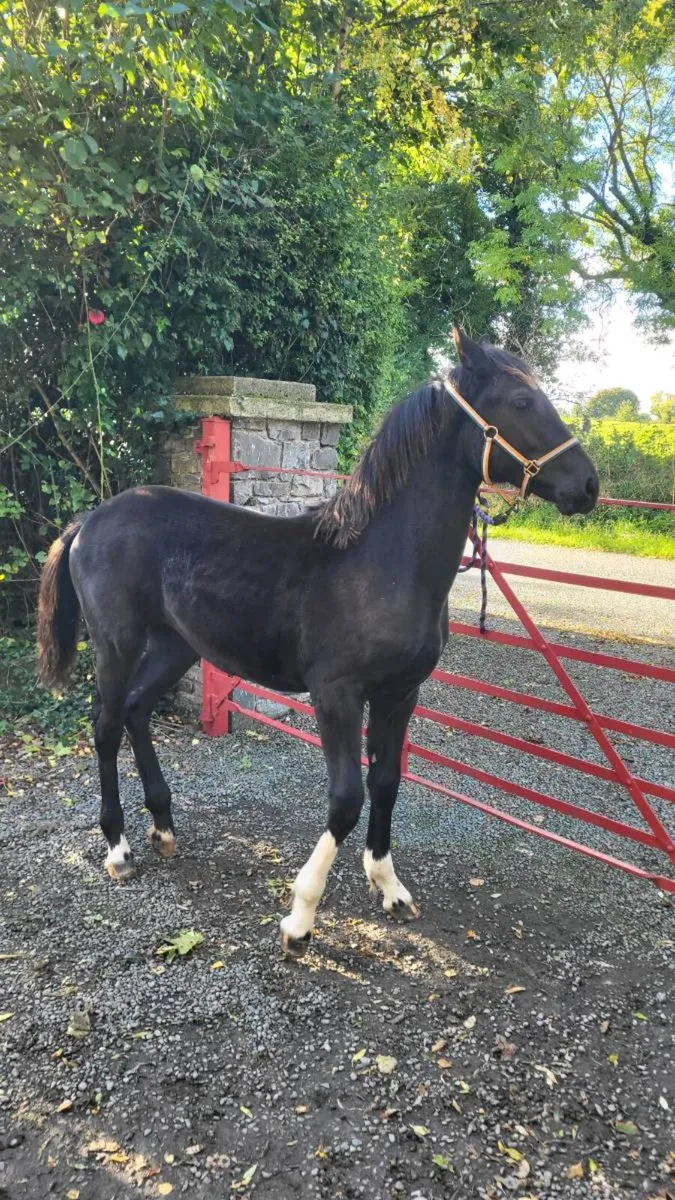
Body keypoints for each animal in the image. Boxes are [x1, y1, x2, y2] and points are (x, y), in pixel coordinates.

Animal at [37, 328, 598, 956]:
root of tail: (88, 521)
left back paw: (163, 827)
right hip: (117, 642)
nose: (587, 485)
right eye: (522, 402)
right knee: (106, 724)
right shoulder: (336, 695)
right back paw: (118, 849)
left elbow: (386, 780)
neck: (379, 562)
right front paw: (300, 919)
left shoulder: (400, 693)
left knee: (136, 709)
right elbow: (347, 798)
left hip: (175, 644)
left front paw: (389, 887)